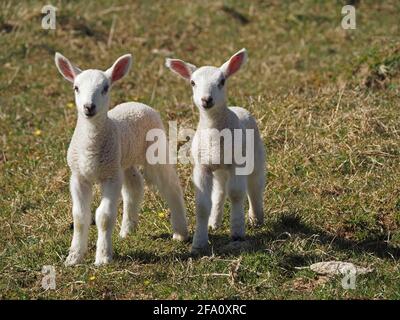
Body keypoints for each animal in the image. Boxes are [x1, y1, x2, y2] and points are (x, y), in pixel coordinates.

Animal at [53, 53, 189, 266]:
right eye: (76, 87)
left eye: (105, 88)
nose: (88, 107)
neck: (90, 147)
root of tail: (136, 103)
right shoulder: (78, 177)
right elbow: (80, 216)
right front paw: (73, 257)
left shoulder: (110, 177)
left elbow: (104, 216)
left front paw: (102, 257)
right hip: (124, 160)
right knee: (134, 186)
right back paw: (127, 229)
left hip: (155, 152)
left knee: (171, 187)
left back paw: (180, 232)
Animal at [166, 48, 266, 252]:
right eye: (192, 82)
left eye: (222, 81)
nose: (206, 99)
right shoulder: (202, 167)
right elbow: (202, 204)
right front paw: (199, 242)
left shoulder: (237, 163)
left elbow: (236, 194)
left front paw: (237, 232)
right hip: (219, 169)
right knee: (220, 190)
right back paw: (214, 222)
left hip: (255, 156)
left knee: (255, 185)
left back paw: (256, 217)